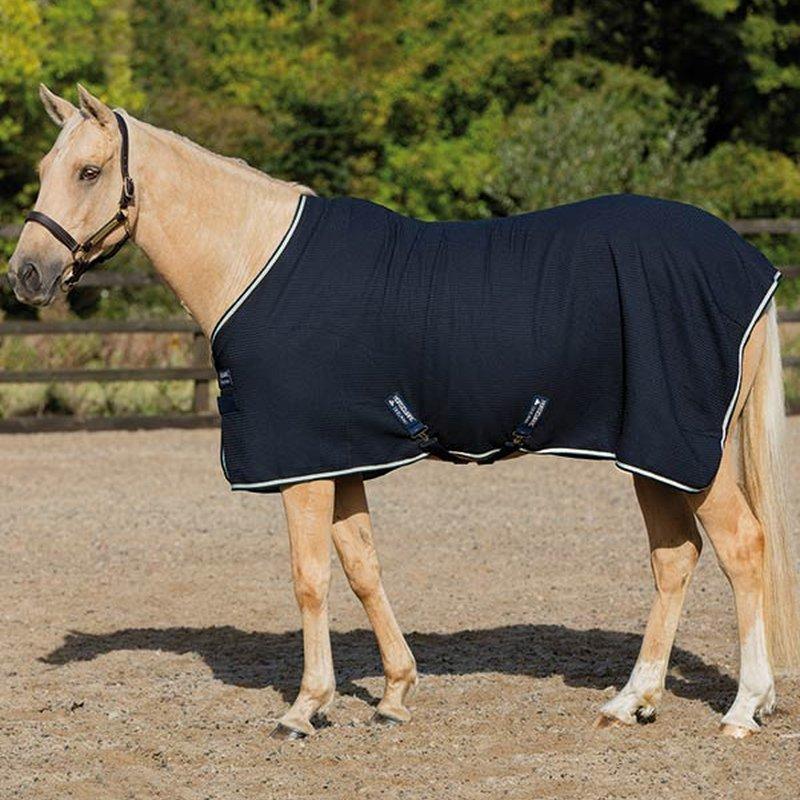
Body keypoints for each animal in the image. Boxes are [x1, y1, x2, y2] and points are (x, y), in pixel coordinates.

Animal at [8, 84, 799, 740]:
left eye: (88, 172)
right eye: (45, 166)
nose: (26, 275)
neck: (253, 260)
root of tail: (747, 264)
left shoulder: (302, 465)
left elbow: (310, 577)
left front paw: (305, 707)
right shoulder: (343, 456)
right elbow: (362, 566)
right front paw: (392, 694)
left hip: (689, 451)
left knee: (742, 548)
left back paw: (742, 708)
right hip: (651, 453)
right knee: (675, 559)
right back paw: (633, 701)